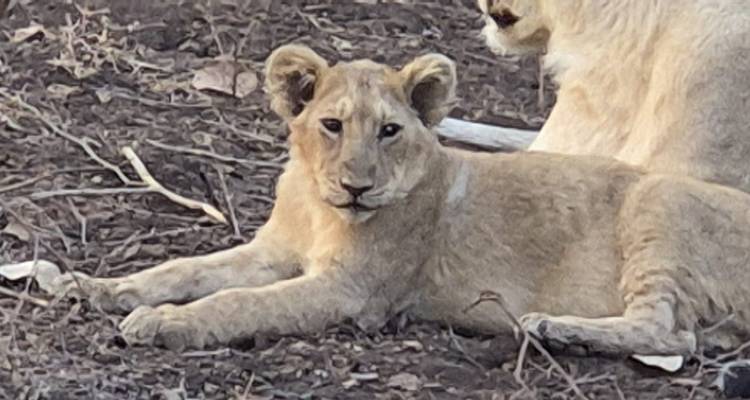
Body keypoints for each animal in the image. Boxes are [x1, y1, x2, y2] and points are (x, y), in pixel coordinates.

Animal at [56, 45, 750, 356]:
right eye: (332, 125)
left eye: (390, 130)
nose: (357, 187)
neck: (318, 205)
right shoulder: (272, 251)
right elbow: (187, 270)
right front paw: (96, 287)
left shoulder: (351, 291)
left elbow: (239, 304)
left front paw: (163, 324)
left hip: (659, 202)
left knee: (671, 333)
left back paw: (552, 327)